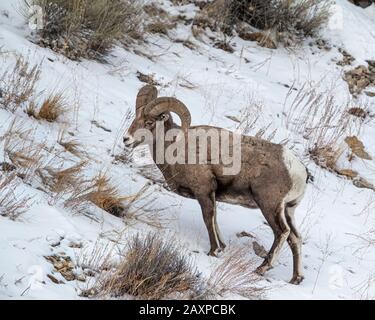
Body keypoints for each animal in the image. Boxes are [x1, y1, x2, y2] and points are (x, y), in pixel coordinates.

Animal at [123, 85, 308, 284]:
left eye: (149, 122)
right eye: (136, 118)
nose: (126, 139)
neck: (176, 147)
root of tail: (300, 171)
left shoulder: (204, 192)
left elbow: (208, 218)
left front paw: (213, 251)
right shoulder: (212, 195)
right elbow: (215, 219)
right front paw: (222, 247)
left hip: (269, 205)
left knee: (282, 232)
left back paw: (262, 268)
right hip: (288, 209)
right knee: (295, 238)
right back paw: (296, 278)